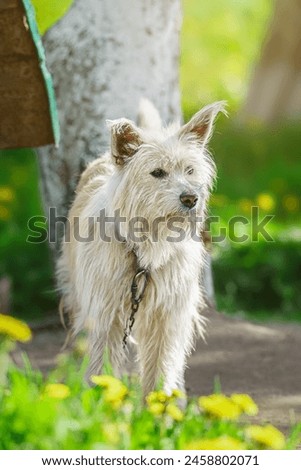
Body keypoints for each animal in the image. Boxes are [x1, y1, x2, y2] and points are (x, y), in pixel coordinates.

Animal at [57, 100, 224, 396]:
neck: (148, 244)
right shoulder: (105, 315)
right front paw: (99, 403)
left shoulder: (167, 317)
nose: (190, 198)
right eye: (157, 173)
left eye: (190, 170)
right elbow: (100, 364)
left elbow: (160, 366)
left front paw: (157, 405)